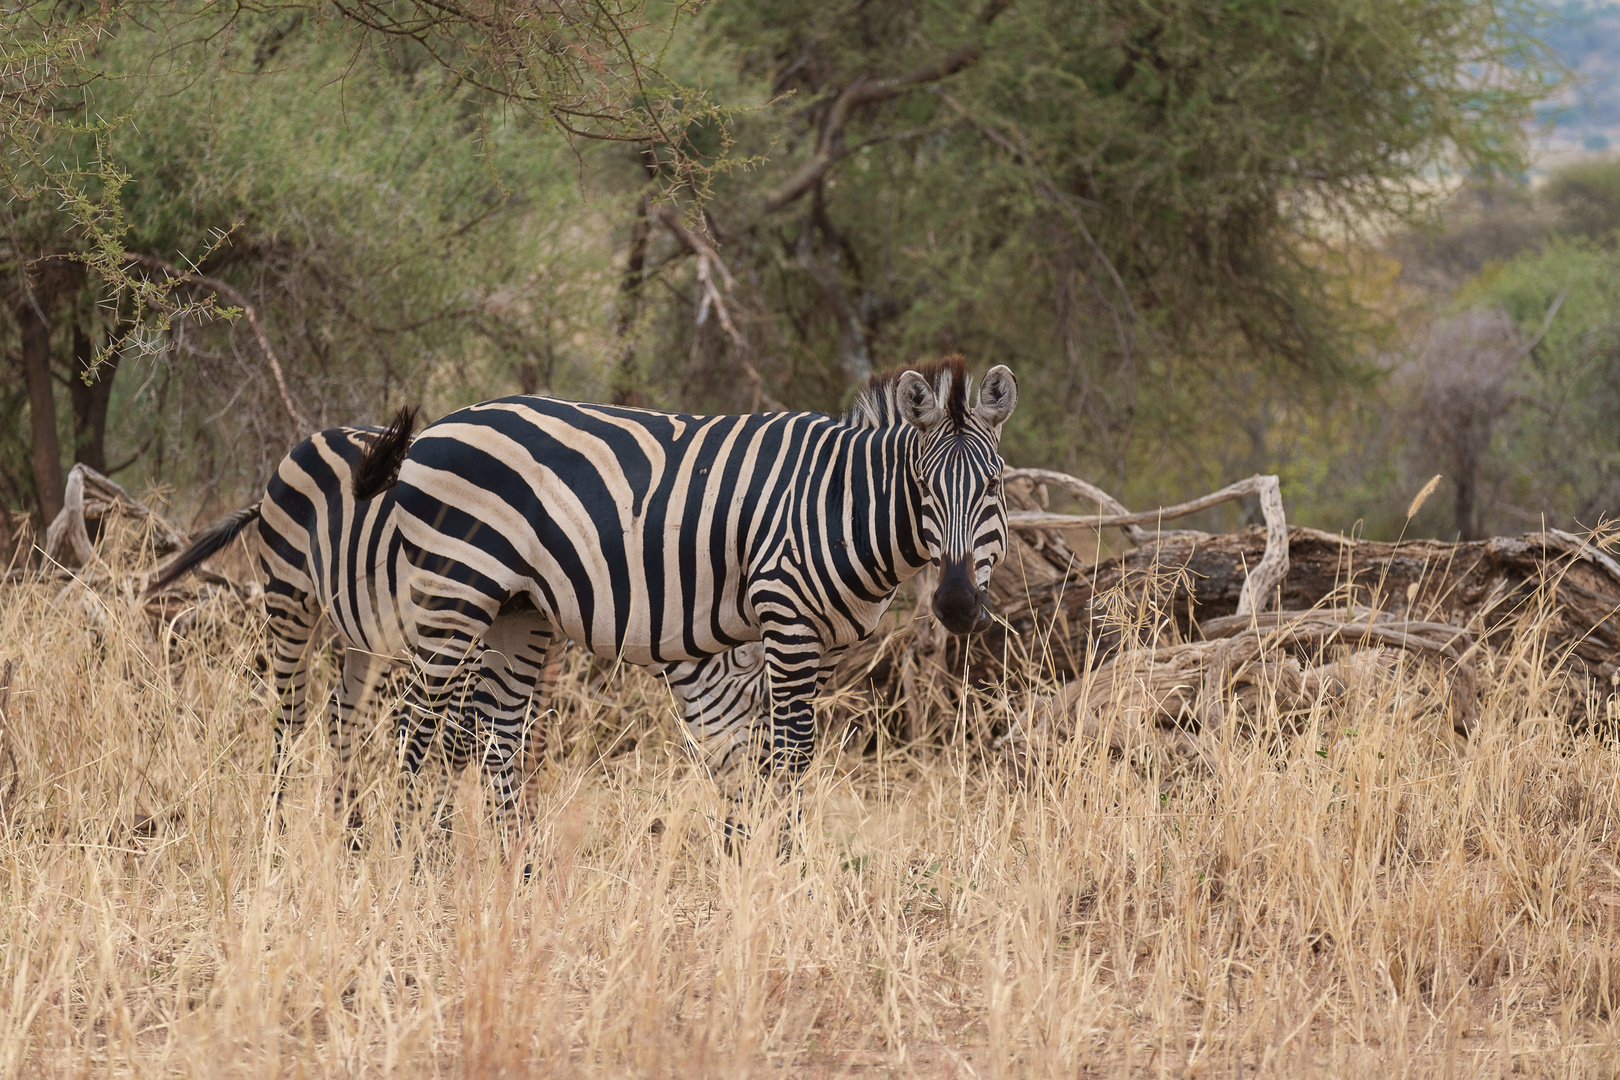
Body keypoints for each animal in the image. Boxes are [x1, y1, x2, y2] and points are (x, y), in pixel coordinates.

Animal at [359, 356, 1017, 819]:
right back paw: (412, 862)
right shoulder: (786, 615)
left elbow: (773, 753)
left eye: (993, 486)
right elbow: (789, 751)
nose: (958, 605)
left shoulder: (825, 640)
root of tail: (433, 430)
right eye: (923, 488)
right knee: (416, 724)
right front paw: (779, 874)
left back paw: (513, 874)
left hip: (518, 608)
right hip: (455, 590)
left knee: (495, 733)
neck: (839, 503)